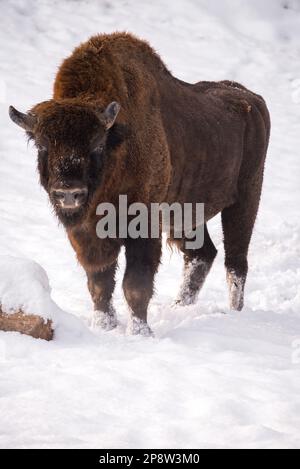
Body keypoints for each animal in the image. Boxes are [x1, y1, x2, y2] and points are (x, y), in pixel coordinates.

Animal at [8, 31, 270, 334]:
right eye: (42, 145)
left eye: (97, 144)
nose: (68, 193)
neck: (117, 141)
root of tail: (253, 101)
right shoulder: (88, 235)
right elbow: (100, 284)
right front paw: (104, 326)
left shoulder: (143, 224)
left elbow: (135, 284)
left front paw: (140, 332)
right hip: (185, 215)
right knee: (202, 254)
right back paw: (179, 307)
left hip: (246, 199)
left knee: (236, 263)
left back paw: (233, 313)